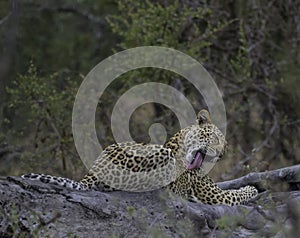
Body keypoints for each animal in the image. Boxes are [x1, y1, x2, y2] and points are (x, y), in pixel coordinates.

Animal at [21, 109, 258, 205]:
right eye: (215, 138)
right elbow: (239, 193)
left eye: (225, 145)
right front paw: (253, 187)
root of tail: (91, 175)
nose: (221, 153)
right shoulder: (217, 197)